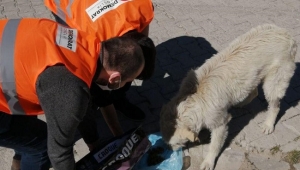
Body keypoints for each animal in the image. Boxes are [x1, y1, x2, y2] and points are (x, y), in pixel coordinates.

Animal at [161, 24, 296, 170]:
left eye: (173, 143)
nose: (169, 151)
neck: (193, 97)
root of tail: (285, 33)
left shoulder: (220, 122)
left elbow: (214, 145)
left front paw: (208, 161)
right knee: (254, 91)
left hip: (274, 81)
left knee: (275, 104)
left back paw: (269, 124)